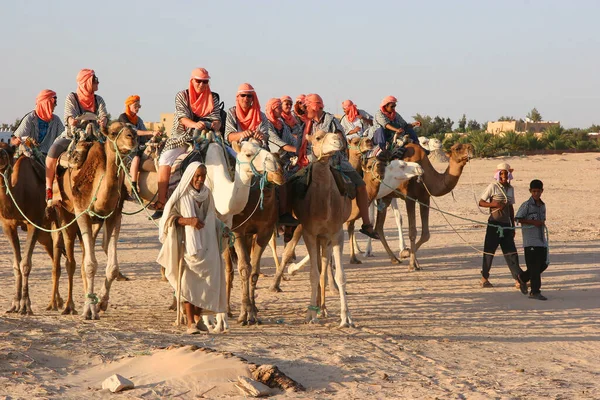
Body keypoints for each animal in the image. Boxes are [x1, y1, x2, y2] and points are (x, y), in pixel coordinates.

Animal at [0, 144, 63, 316]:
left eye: (7, 151)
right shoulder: (8, 225)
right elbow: (16, 264)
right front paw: (14, 304)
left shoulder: (34, 223)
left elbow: (25, 264)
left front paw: (25, 306)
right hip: (45, 235)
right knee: (55, 258)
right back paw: (57, 302)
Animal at [50, 122, 137, 318]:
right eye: (113, 132)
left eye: (133, 130)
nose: (132, 137)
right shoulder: (81, 211)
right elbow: (90, 265)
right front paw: (89, 310)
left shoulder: (114, 215)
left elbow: (111, 267)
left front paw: (100, 304)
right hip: (65, 212)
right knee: (71, 260)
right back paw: (68, 306)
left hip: (95, 222)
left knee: (83, 257)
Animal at [376, 142, 474, 270]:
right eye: (457, 148)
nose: (472, 148)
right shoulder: (409, 198)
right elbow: (412, 232)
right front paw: (410, 262)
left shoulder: (425, 199)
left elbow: (426, 234)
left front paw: (410, 257)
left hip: (386, 197)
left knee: (378, 227)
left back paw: (394, 259)